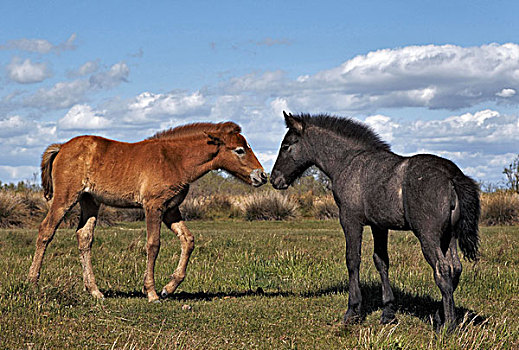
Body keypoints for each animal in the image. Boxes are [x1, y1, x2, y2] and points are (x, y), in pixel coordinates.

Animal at [27, 121, 268, 302]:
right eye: (239, 150)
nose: (262, 176)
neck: (174, 159)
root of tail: (61, 147)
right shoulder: (153, 206)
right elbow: (153, 245)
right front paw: (151, 292)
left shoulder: (171, 209)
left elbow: (188, 240)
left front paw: (168, 288)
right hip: (65, 198)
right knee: (46, 230)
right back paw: (33, 282)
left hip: (90, 201)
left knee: (84, 237)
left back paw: (94, 291)